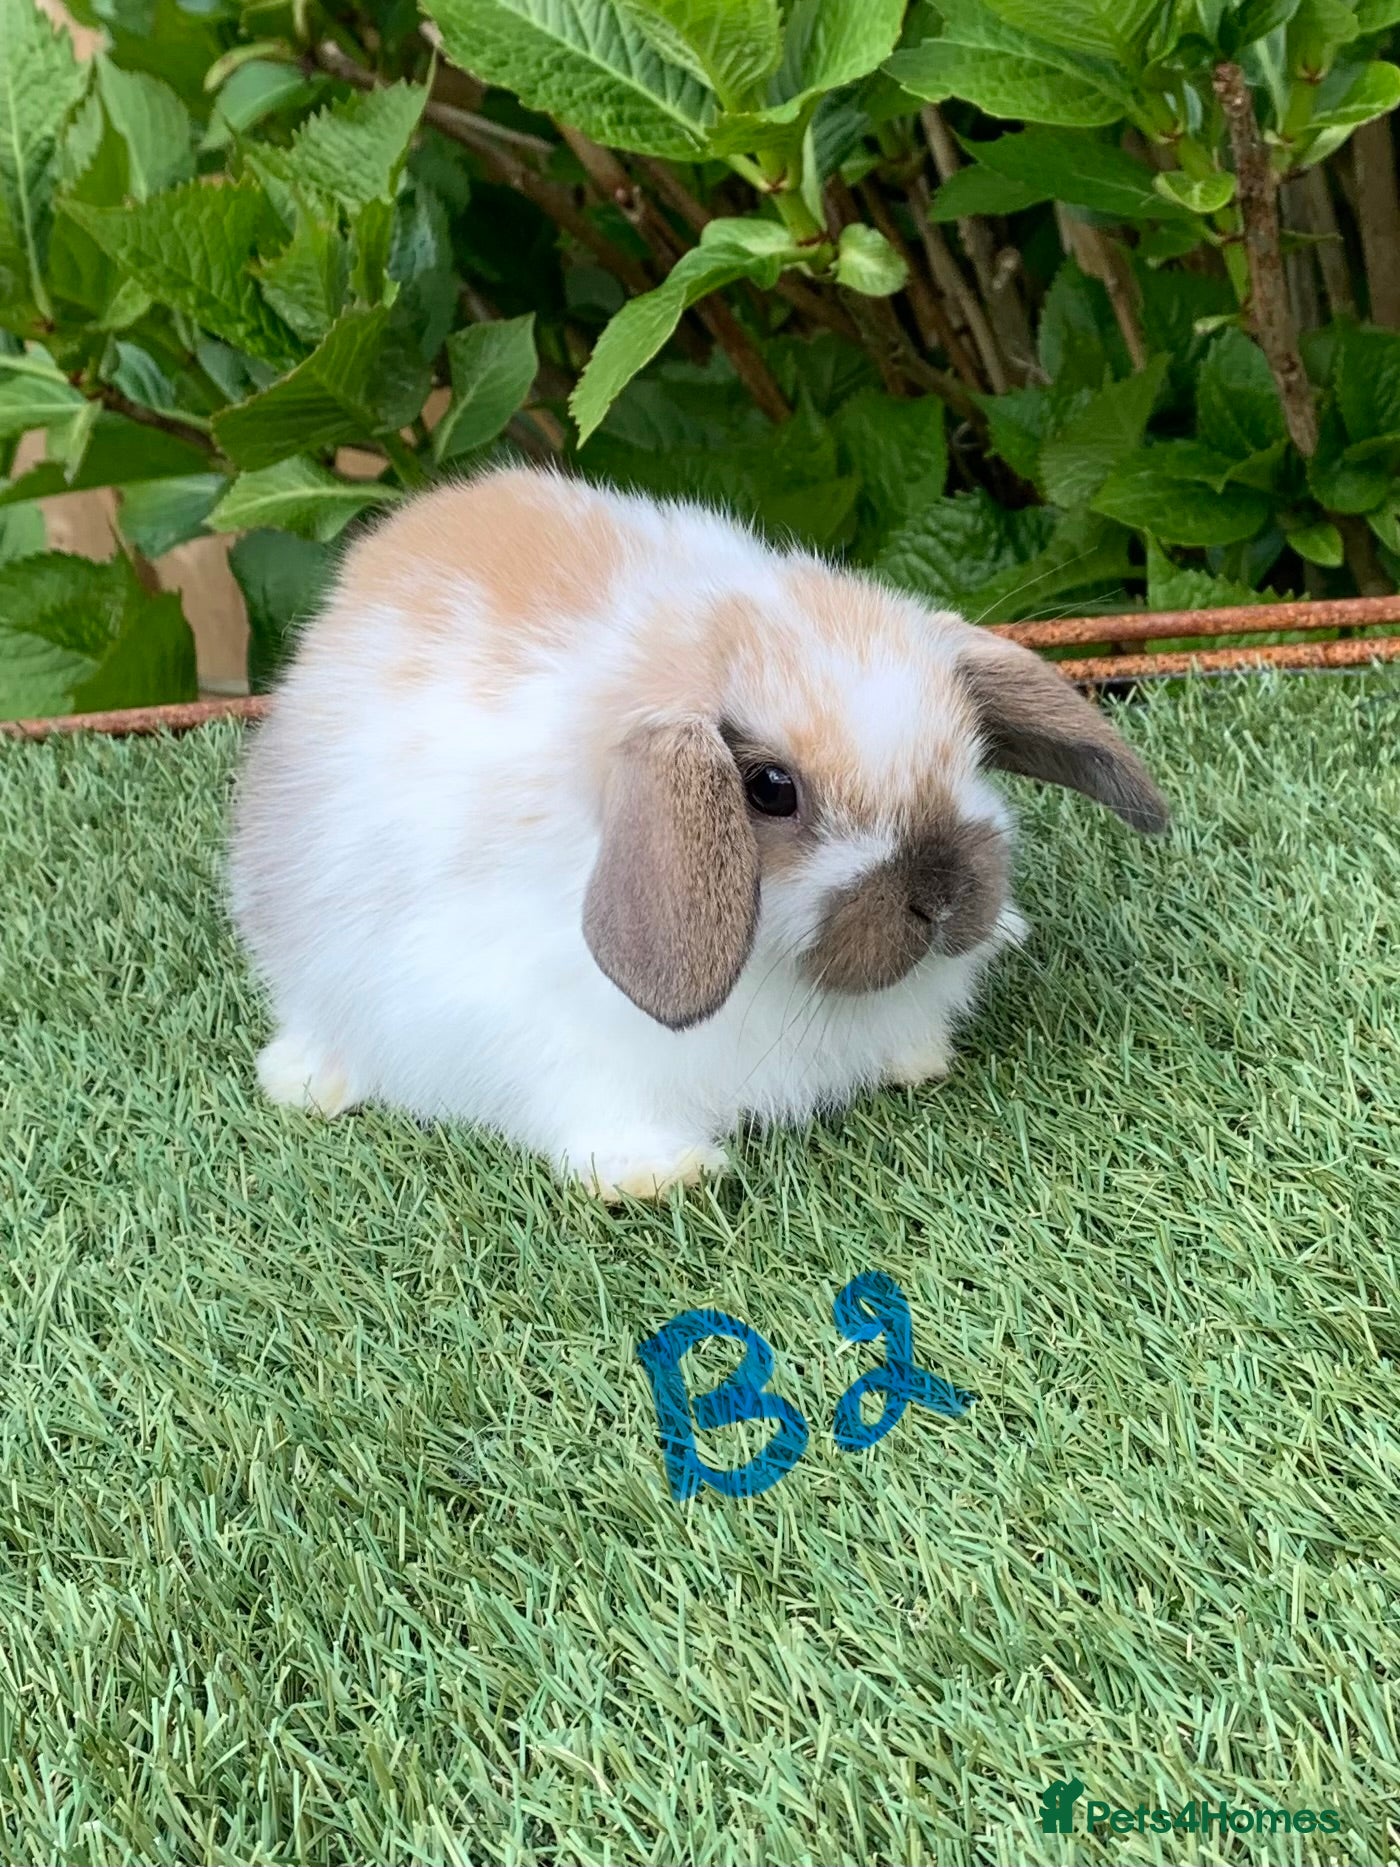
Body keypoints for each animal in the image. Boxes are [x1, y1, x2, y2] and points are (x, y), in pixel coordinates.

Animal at [228, 464, 1168, 1201]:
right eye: (770, 789)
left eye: (969, 744)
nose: (941, 898)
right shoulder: (542, 1035)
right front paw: (660, 1175)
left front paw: (918, 1056)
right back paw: (308, 1080)